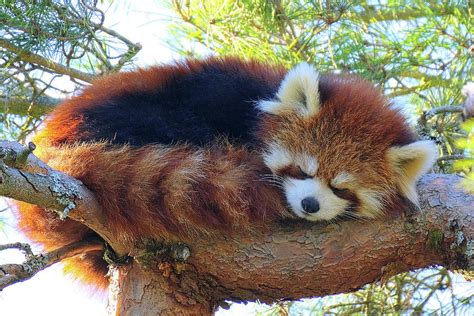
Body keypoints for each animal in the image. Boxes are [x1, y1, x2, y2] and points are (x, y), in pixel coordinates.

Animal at [13, 56, 436, 288]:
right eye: (301, 170)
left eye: (341, 189)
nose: (311, 205)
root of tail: (48, 141)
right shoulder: (217, 88)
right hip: (118, 112)